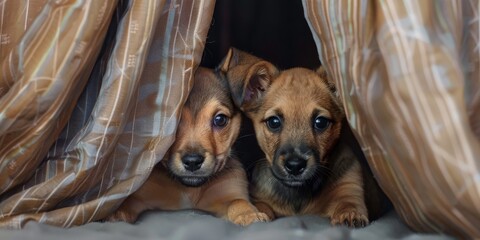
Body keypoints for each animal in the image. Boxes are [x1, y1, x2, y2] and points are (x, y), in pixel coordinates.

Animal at [108, 66, 270, 226]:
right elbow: (129, 201)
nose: (193, 162)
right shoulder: (144, 195)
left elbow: (238, 202)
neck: (190, 189)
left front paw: (249, 214)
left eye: (220, 119)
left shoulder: (230, 190)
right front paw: (117, 214)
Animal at [219, 47, 388, 228]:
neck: (298, 194)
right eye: (273, 122)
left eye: (321, 122)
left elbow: (347, 203)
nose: (295, 166)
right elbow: (261, 206)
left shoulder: (349, 187)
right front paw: (252, 215)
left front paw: (349, 214)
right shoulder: (260, 198)